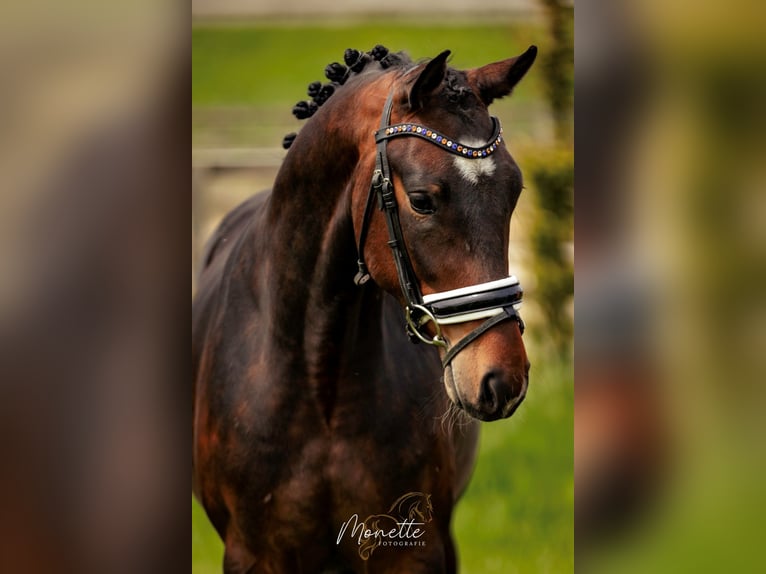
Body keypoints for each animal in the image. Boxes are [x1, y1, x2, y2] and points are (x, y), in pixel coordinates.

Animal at [195, 42, 536, 572]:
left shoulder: (415, 550)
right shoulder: (254, 554)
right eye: (421, 200)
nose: (502, 379)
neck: (320, 387)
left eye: (514, 191)